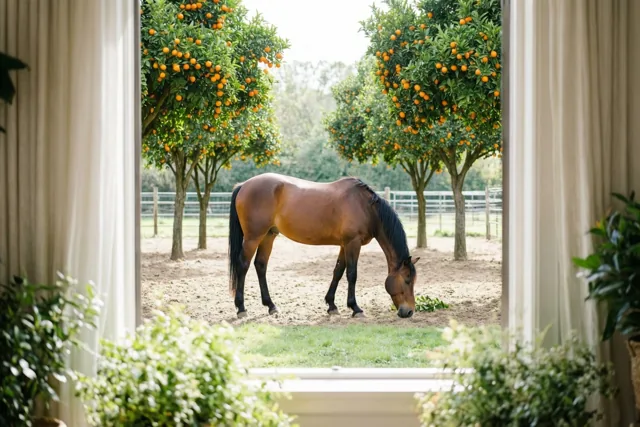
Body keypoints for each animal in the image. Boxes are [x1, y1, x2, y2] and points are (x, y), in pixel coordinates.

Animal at [228, 172, 419, 319]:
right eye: (407, 279)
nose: (409, 311)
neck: (365, 207)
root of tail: (244, 185)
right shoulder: (353, 243)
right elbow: (352, 274)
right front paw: (355, 308)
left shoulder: (344, 244)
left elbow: (338, 271)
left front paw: (332, 305)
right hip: (253, 237)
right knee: (243, 266)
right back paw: (241, 308)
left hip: (268, 235)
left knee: (260, 265)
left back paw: (271, 305)